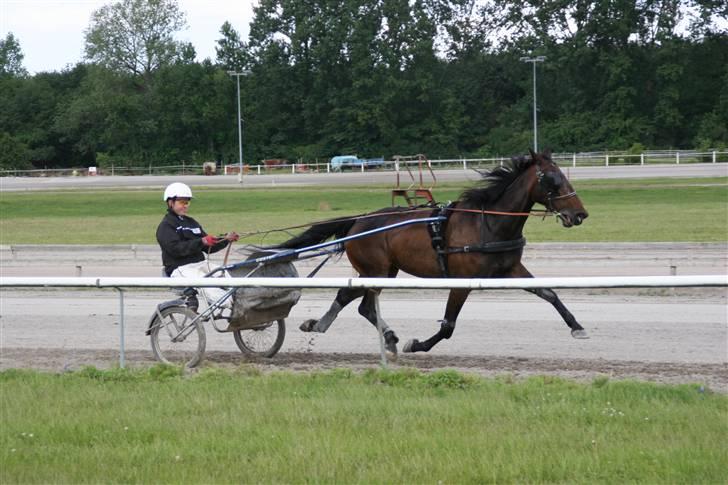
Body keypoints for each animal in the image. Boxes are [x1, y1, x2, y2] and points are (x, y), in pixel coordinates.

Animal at [272, 150, 584, 356]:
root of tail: (358, 221)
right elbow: (448, 325)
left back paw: (349, 330)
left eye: (564, 175)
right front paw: (418, 344)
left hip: (384, 270)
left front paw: (576, 325)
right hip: (375, 268)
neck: (489, 224)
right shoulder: (462, 280)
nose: (580, 214)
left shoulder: (510, 269)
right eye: (553, 180)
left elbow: (549, 293)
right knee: (357, 301)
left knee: (356, 301)